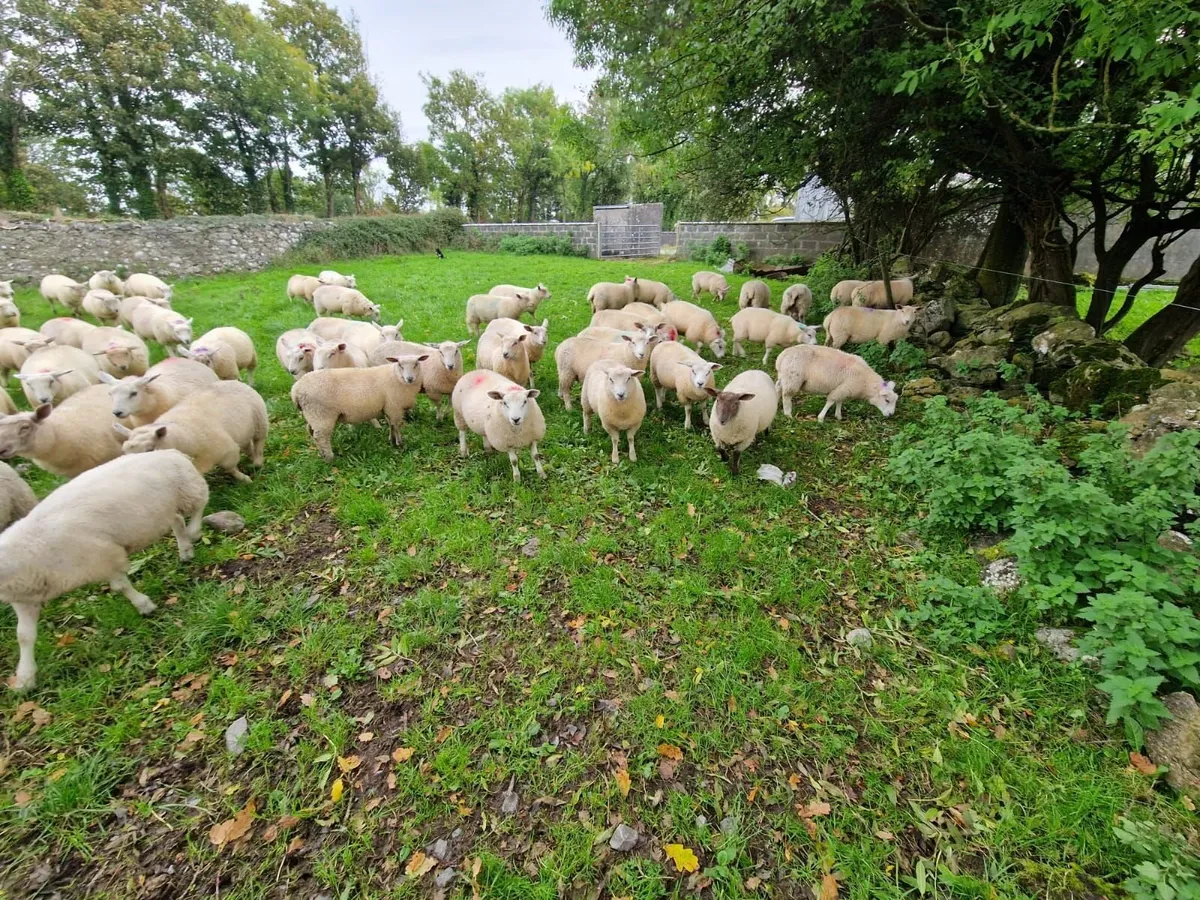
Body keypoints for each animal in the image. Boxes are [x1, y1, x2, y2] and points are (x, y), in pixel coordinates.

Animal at [0, 449, 207, 690]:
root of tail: (168, 451)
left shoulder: (105, 557)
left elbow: (120, 587)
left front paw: (144, 605)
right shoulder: (26, 598)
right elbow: (24, 635)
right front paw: (25, 678)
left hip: (188, 488)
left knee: (201, 501)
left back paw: (194, 531)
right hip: (165, 508)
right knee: (176, 520)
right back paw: (185, 550)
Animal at [116, 381, 268, 483]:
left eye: (150, 450)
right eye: (124, 452)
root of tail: (232, 380)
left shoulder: (227, 451)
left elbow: (230, 468)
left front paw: (245, 479)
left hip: (260, 422)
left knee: (259, 442)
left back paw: (257, 462)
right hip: (243, 430)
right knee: (247, 445)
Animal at [291, 354, 428, 462]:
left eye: (416, 363)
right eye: (400, 364)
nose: (409, 378)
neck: (396, 376)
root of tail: (295, 390)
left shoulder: (388, 407)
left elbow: (391, 425)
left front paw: (392, 440)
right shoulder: (394, 407)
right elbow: (396, 426)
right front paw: (400, 443)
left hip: (312, 414)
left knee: (310, 431)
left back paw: (322, 454)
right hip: (321, 414)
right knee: (321, 437)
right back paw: (330, 458)